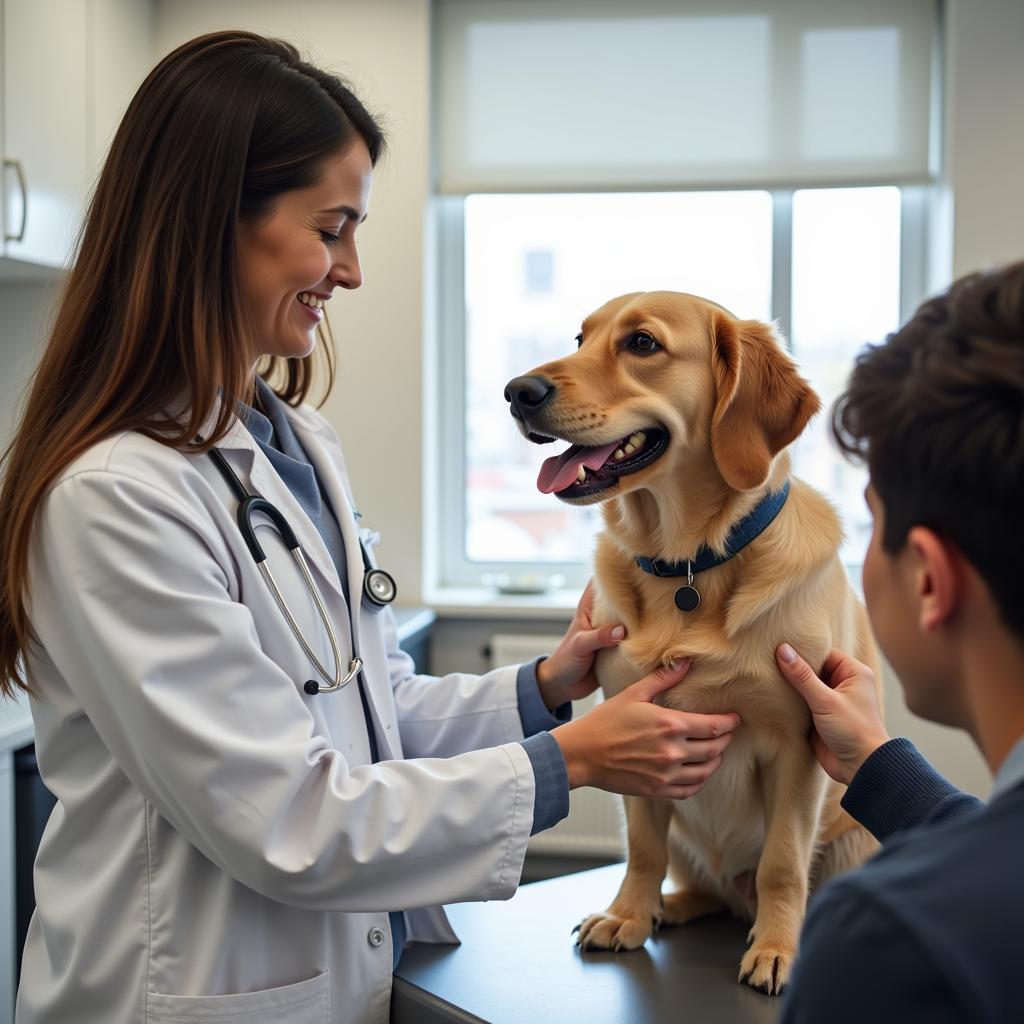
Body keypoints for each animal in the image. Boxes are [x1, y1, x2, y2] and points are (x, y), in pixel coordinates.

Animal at [503, 292, 880, 995]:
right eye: (580, 338)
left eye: (642, 344)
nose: (517, 391)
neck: (688, 565)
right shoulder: (638, 736)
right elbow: (643, 848)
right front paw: (629, 914)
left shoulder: (802, 746)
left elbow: (782, 863)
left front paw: (778, 949)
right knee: (700, 884)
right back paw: (667, 908)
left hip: (853, 833)